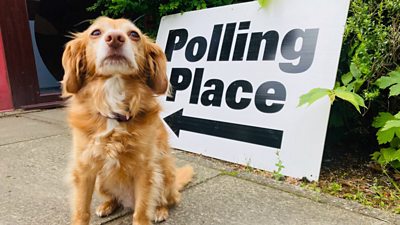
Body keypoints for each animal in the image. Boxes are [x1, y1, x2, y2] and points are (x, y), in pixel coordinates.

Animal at [60, 16, 195, 225]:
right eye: (95, 32)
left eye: (134, 34)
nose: (115, 38)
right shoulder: (85, 169)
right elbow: (81, 211)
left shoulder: (145, 170)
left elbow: (141, 212)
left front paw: (148, 215)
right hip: (102, 181)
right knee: (113, 198)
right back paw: (107, 205)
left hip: (163, 174)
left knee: (167, 199)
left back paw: (160, 211)